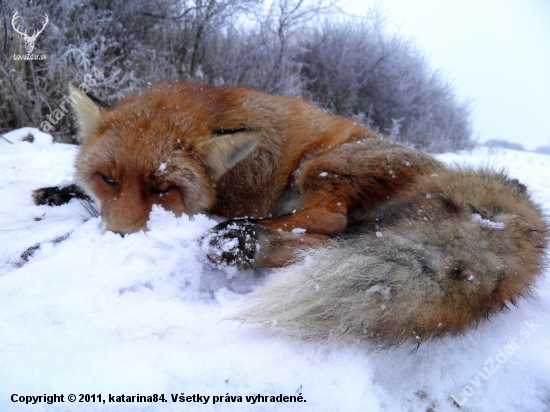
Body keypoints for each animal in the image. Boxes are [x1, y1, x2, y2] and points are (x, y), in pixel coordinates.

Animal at [35, 82, 548, 346]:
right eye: (108, 178)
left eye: (164, 188)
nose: (119, 238)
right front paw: (54, 195)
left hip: (320, 166)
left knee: (332, 226)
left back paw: (244, 241)